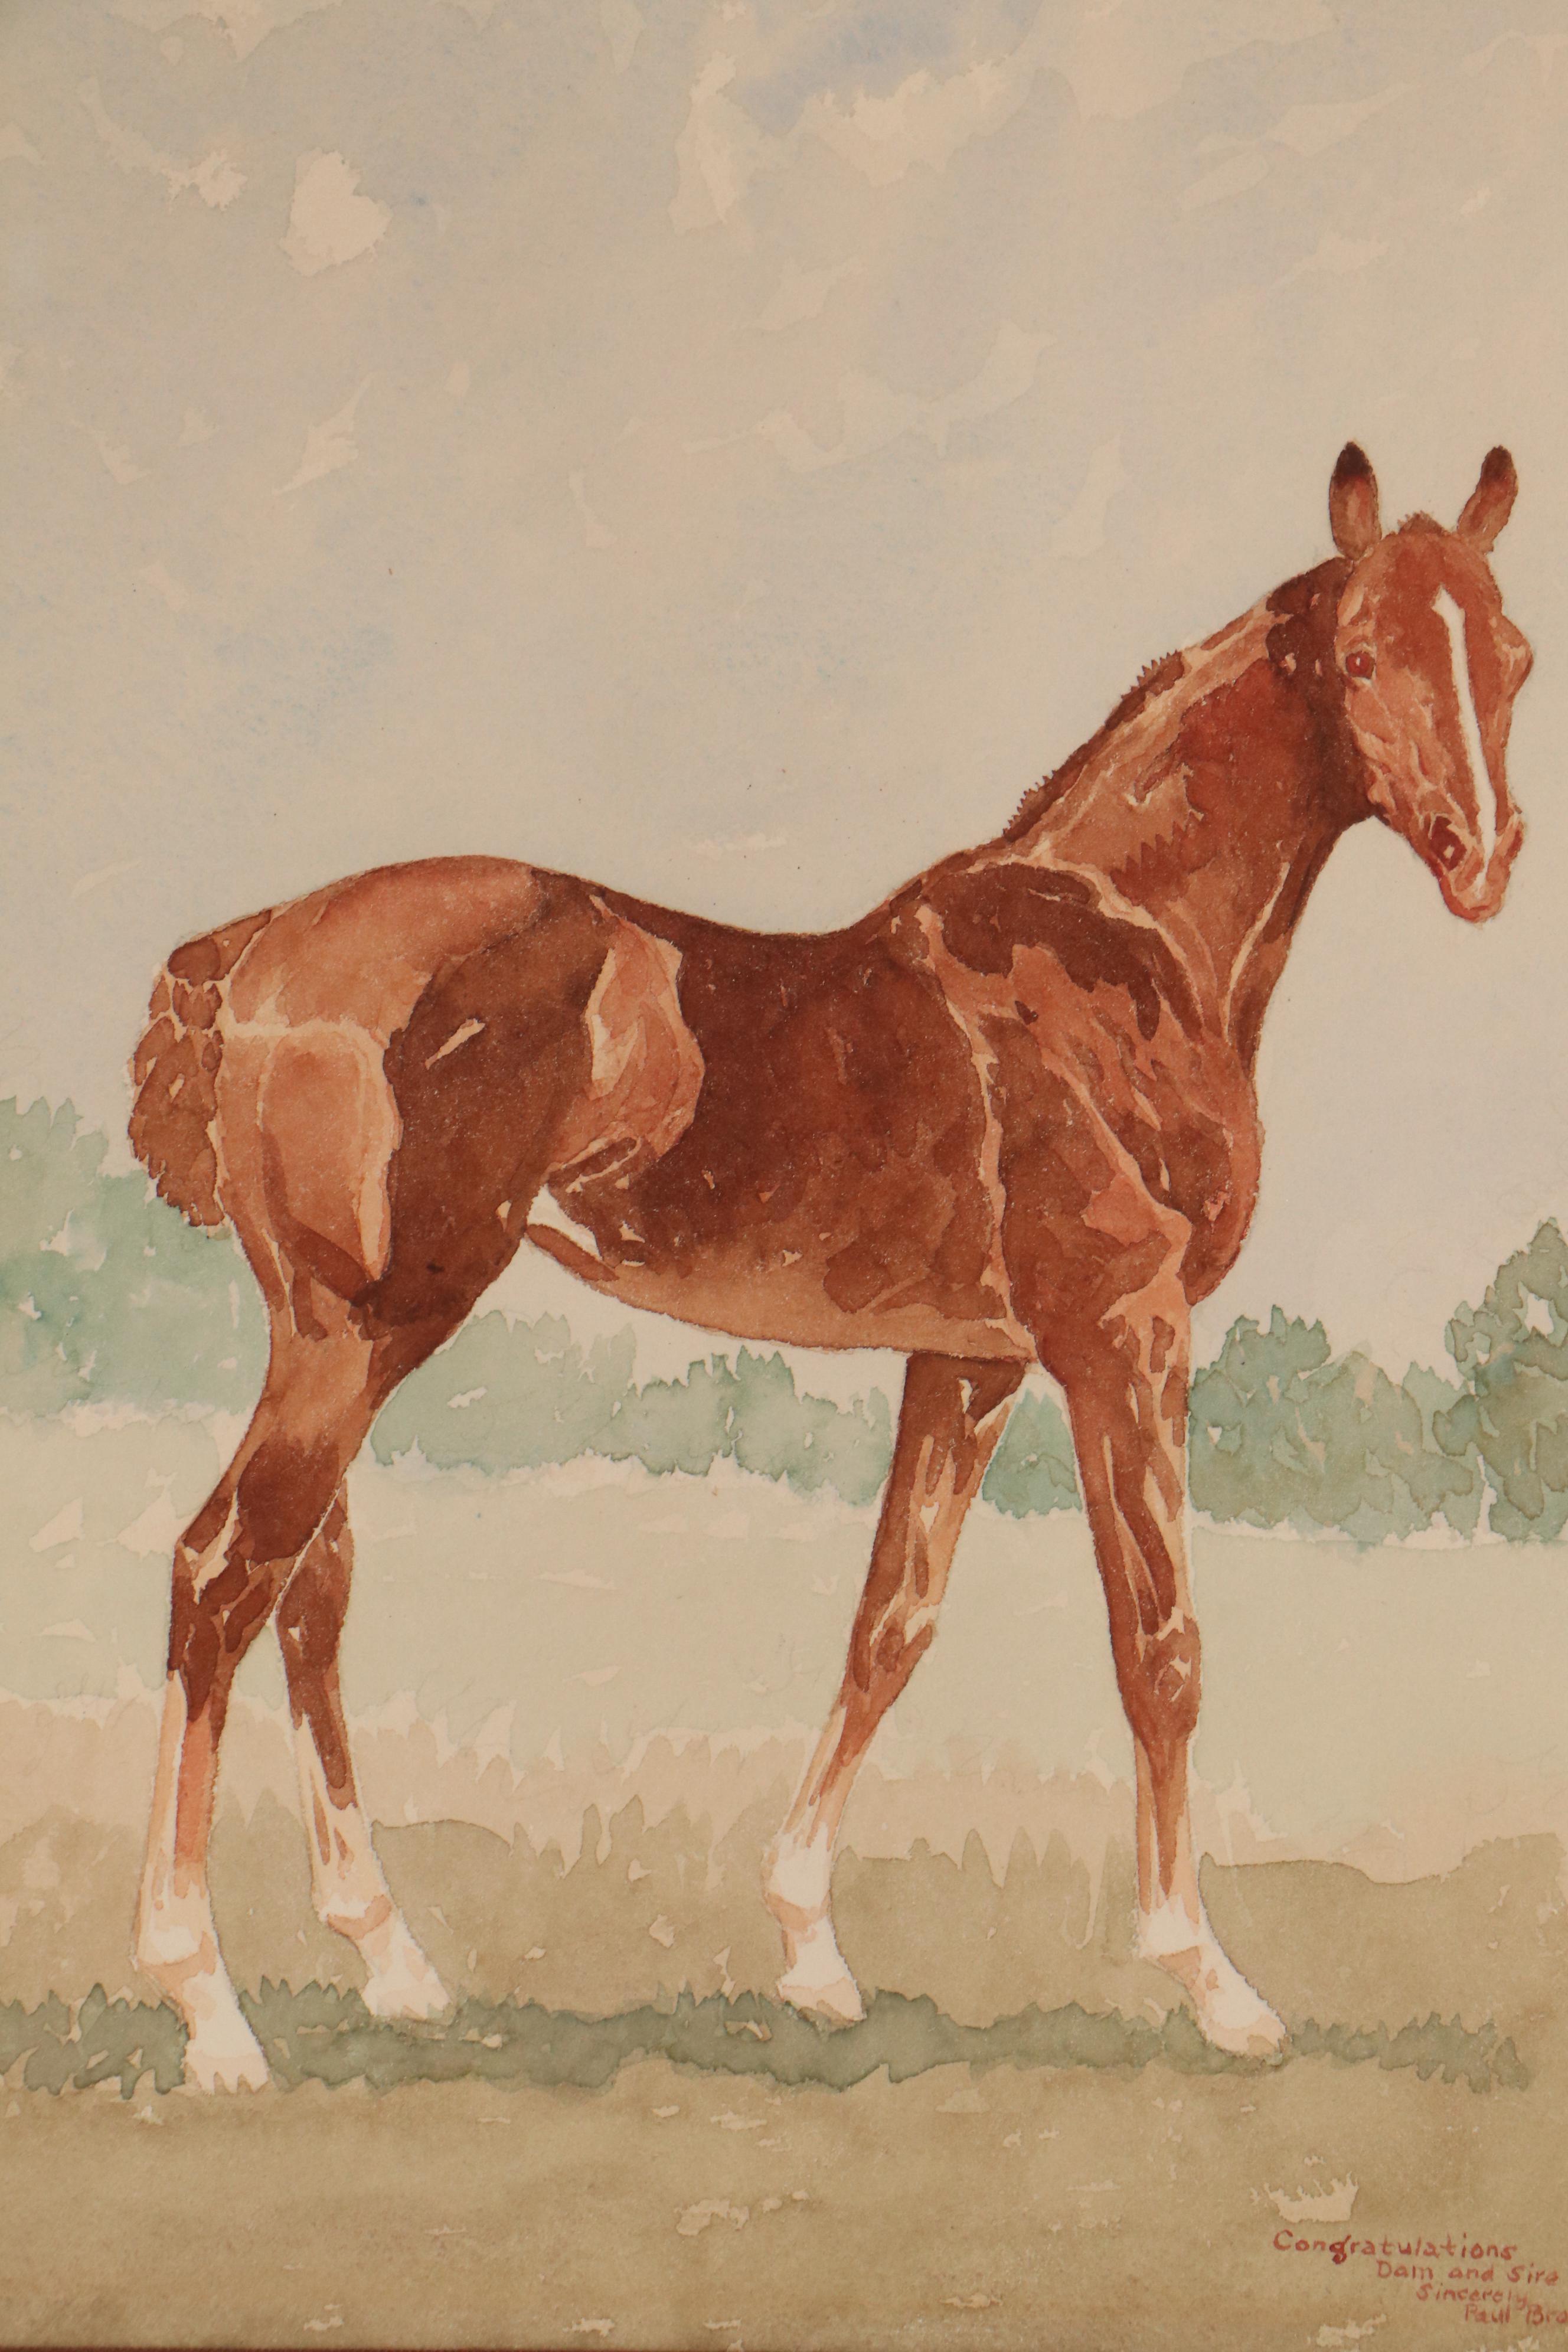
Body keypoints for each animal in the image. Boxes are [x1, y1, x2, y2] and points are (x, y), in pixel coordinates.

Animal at [126, 443, 1530, 2090]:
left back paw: (394, 1964)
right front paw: (1213, 1984)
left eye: (1511, 656)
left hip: (330, 1338)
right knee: (224, 1574)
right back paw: (208, 2007)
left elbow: (888, 1625)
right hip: (363, 1332)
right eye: (1364, 659)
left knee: (309, 1591)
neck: (1116, 954)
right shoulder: (1124, 1337)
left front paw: (808, 1950)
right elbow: (1160, 1644)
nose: (1485, 857)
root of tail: (258, 949)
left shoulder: (972, 1360)